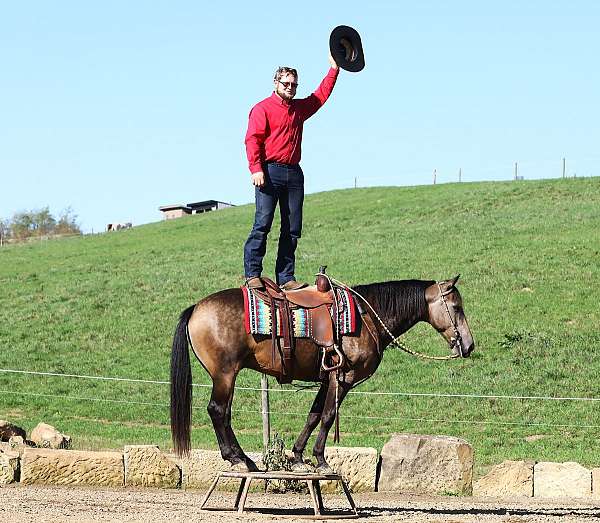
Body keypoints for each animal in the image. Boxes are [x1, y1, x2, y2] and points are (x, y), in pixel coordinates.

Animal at [170, 274, 474, 474]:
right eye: (456, 307)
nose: (469, 345)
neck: (366, 317)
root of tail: (196, 309)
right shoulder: (343, 378)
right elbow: (328, 416)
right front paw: (322, 460)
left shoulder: (326, 379)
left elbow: (314, 415)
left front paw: (297, 458)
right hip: (225, 374)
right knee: (218, 410)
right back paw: (237, 459)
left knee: (224, 413)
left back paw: (245, 459)